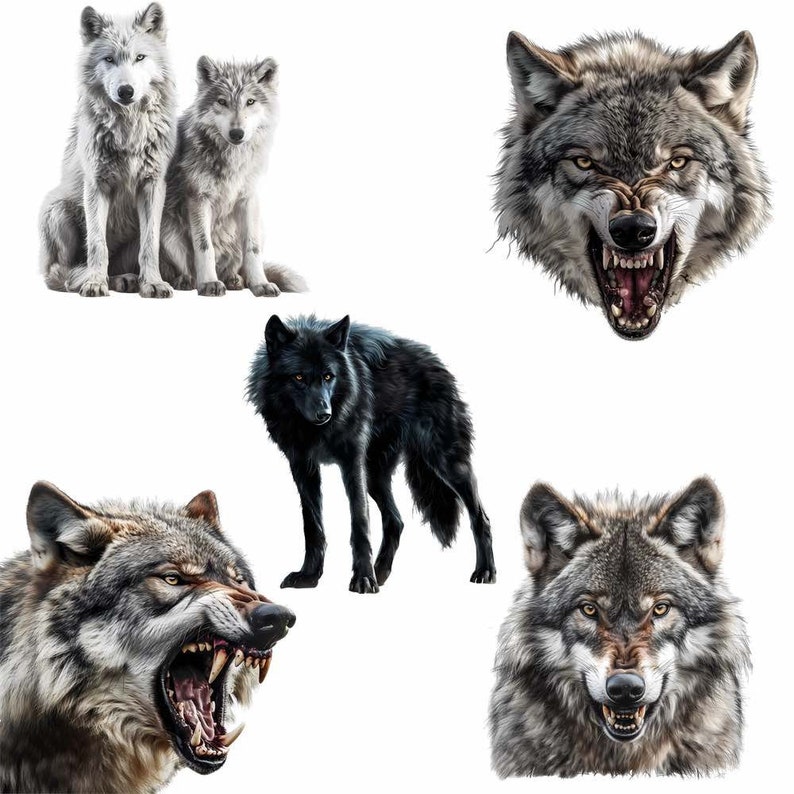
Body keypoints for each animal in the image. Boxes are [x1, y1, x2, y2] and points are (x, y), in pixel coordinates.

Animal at [40, 4, 177, 298]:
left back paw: (124, 279)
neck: (128, 132)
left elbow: (150, 246)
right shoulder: (96, 186)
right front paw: (94, 282)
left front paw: (153, 283)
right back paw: (86, 279)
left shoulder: (153, 186)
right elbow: (96, 244)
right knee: (59, 274)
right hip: (57, 209)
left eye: (139, 57)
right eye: (109, 59)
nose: (126, 91)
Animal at [159, 57, 305, 296]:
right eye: (222, 102)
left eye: (250, 102)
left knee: (236, 266)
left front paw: (260, 284)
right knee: (185, 269)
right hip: (168, 231)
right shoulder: (199, 199)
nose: (237, 134)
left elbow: (252, 249)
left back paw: (234, 280)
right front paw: (209, 283)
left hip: (258, 228)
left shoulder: (249, 199)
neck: (233, 160)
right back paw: (189, 280)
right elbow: (204, 246)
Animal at [247, 314, 496, 594]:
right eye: (298, 377)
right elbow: (312, 526)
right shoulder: (302, 465)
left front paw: (363, 579)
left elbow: (360, 522)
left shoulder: (352, 461)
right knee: (396, 521)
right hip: (376, 476)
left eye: (328, 376)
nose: (325, 414)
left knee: (481, 517)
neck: (313, 430)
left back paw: (485, 572)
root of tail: (436, 361)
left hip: (446, 463)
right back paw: (381, 573)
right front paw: (309, 576)